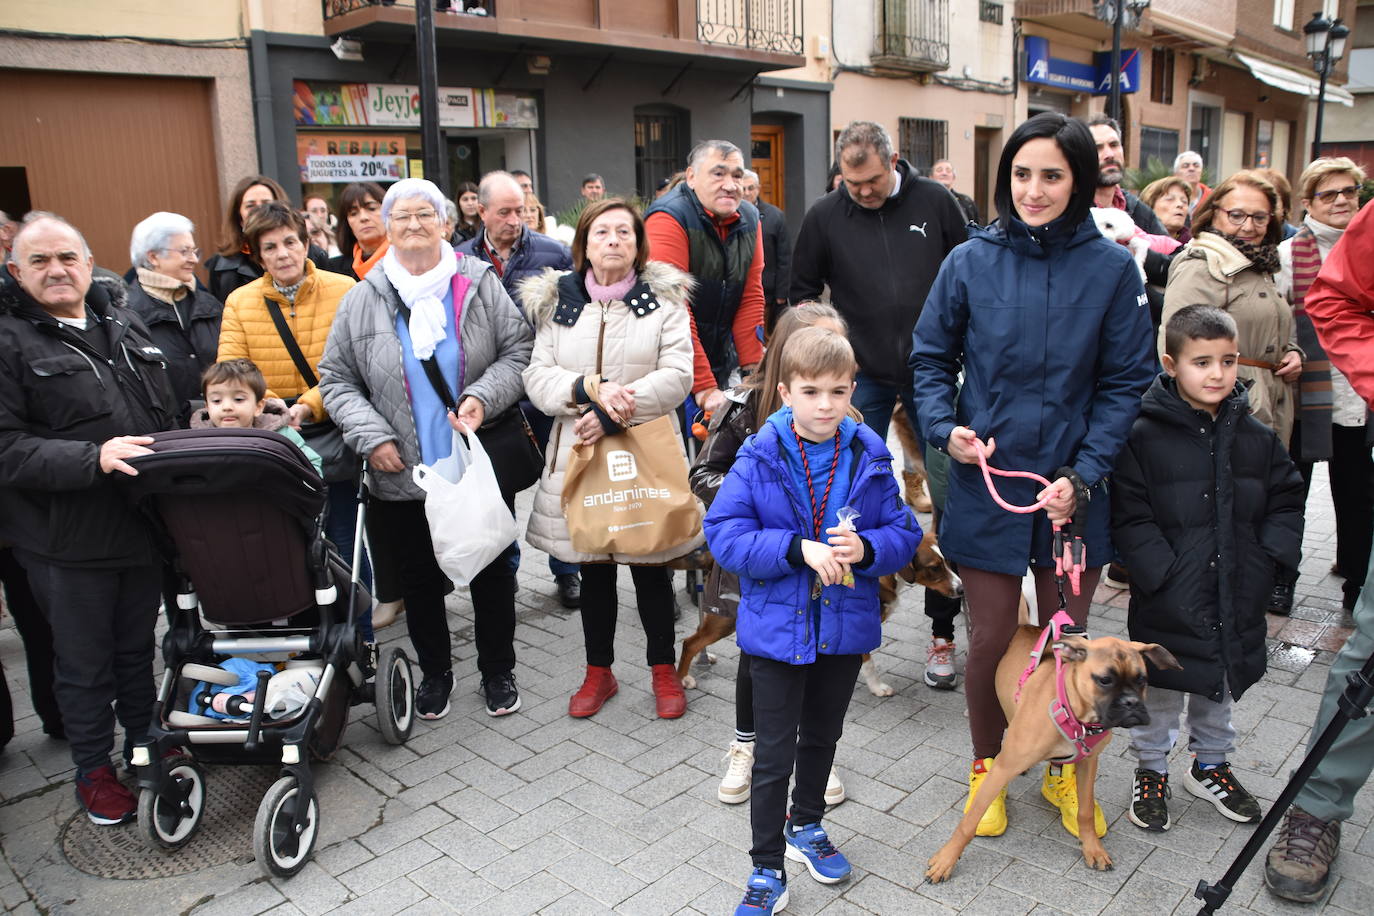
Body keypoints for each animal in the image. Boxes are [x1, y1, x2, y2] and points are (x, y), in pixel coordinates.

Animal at [923, 623, 1181, 878]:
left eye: (1142, 680)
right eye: (1105, 680)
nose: (1132, 703)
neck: (1074, 714)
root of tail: (1026, 626)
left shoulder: (1089, 763)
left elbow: (1085, 811)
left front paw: (1093, 848)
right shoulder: (1001, 770)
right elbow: (970, 821)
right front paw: (946, 859)